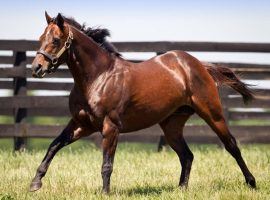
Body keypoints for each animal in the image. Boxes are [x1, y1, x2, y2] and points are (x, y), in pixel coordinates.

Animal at [30, 12, 256, 192]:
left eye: (56, 40)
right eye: (41, 38)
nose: (36, 68)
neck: (98, 77)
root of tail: (198, 64)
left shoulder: (110, 127)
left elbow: (106, 165)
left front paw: (105, 193)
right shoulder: (81, 125)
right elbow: (53, 146)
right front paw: (35, 183)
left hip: (212, 114)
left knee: (231, 146)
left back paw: (251, 183)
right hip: (172, 126)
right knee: (187, 155)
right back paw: (181, 190)